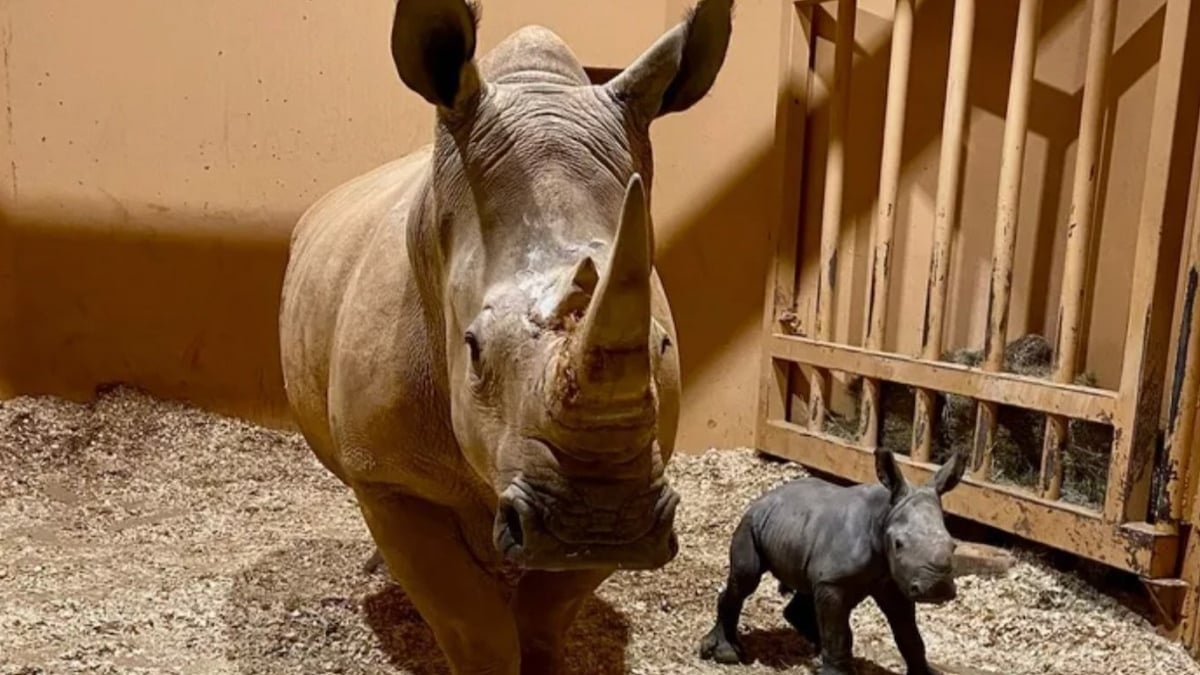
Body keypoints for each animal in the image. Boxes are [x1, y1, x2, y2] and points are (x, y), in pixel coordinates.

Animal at [700, 446, 969, 672]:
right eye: (898, 544)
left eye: (954, 545)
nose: (937, 588)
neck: (885, 514)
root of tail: (765, 497)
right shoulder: (834, 582)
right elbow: (838, 633)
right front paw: (837, 672)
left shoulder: (892, 580)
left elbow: (909, 634)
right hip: (750, 524)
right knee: (746, 579)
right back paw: (726, 654)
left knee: (805, 591)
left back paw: (816, 652)